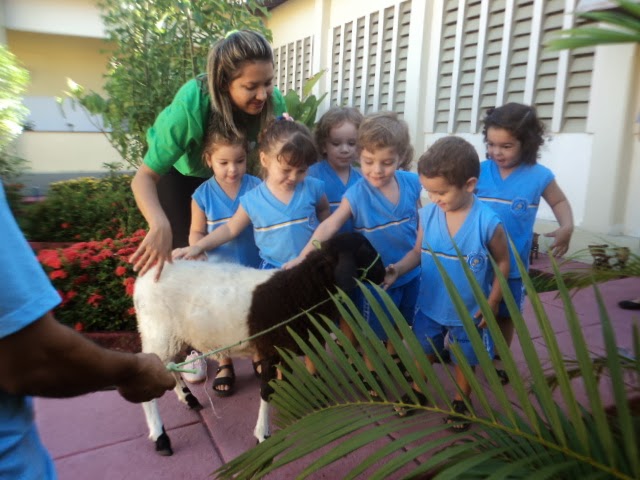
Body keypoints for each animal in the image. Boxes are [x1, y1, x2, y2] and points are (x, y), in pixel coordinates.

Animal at [134, 234, 384, 456]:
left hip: (174, 338)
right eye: (366, 250)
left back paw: (189, 400)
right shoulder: (270, 350)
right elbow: (266, 390)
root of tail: (142, 280)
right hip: (159, 334)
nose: (385, 272)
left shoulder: (285, 350)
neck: (299, 290)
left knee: (172, 371)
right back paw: (161, 438)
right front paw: (263, 435)